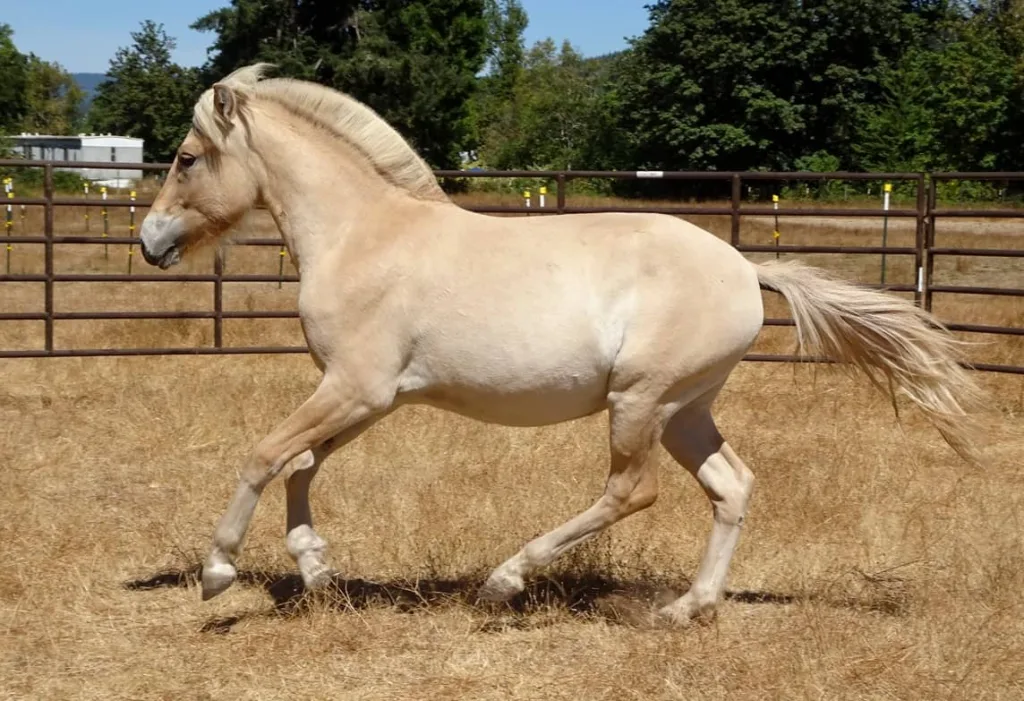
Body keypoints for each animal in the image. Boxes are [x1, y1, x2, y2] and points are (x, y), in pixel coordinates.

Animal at [138, 64, 983, 625]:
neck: (363, 235)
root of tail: (747, 267)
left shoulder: (356, 386)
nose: (148, 241)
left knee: (631, 490)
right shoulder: (372, 397)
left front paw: (218, 570)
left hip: (640, 400)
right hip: (685, 409)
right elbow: (302, 464)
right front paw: (316, 569)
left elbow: (263, 454)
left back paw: (506, 580)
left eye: (186, 157)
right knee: (732, 485)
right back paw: (687, 607)